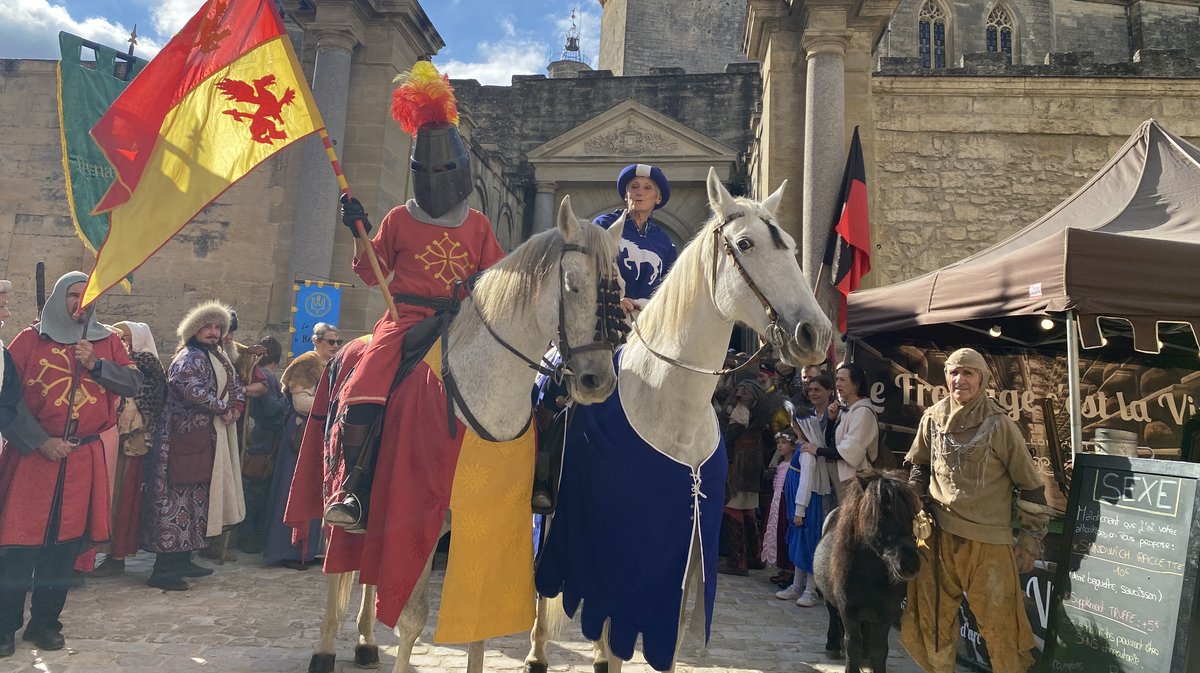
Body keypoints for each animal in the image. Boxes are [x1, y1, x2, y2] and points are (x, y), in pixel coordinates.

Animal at [297, 196, 628, 671]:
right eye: (573, 286)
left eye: (618, 287)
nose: (596, 381)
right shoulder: (417, 516)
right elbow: (413, 618)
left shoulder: (489, 520)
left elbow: (479, 627)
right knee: (339, 565)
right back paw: (326, 646)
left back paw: (365, 640)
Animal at [525, 167, 835, 671]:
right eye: (745, 243)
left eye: (790, 244)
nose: (815, 334)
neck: (671, 402)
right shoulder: (619, 538)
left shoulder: (689, 552)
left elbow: (665, 640)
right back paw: (536, 650)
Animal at [811, 467, 921, 671]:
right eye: (880, 515)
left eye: (911, 517)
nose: (910, 564)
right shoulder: (848, 610)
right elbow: (852, 644)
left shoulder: (886, 613)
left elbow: (880, 648)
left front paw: (871, 658)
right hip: (830, 599)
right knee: (833, 617)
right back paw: (833, 646)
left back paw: (865, 654)